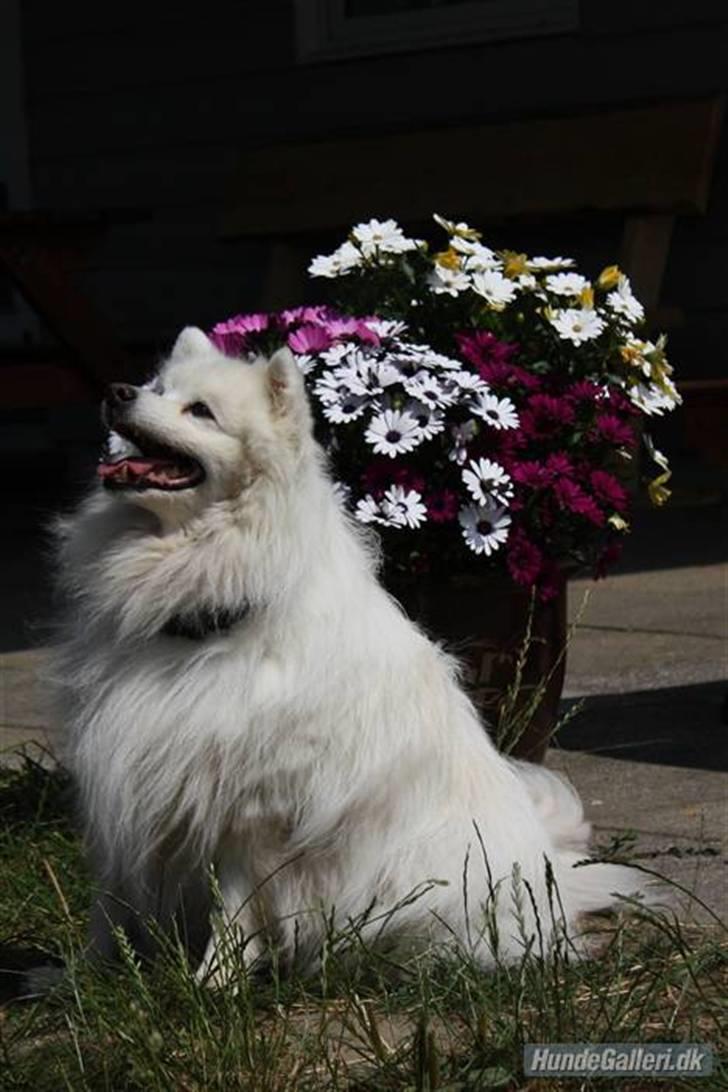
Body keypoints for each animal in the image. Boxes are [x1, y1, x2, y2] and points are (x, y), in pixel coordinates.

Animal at [54, 325, 650, 982]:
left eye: (200, 412)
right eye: (158, 388)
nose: (117, 391)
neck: (207, 600)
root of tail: (552, 876)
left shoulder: (251, 811)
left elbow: (234, 912)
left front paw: (213, 985)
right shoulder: (128, 780)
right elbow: (109, 904)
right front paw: (80, 979)